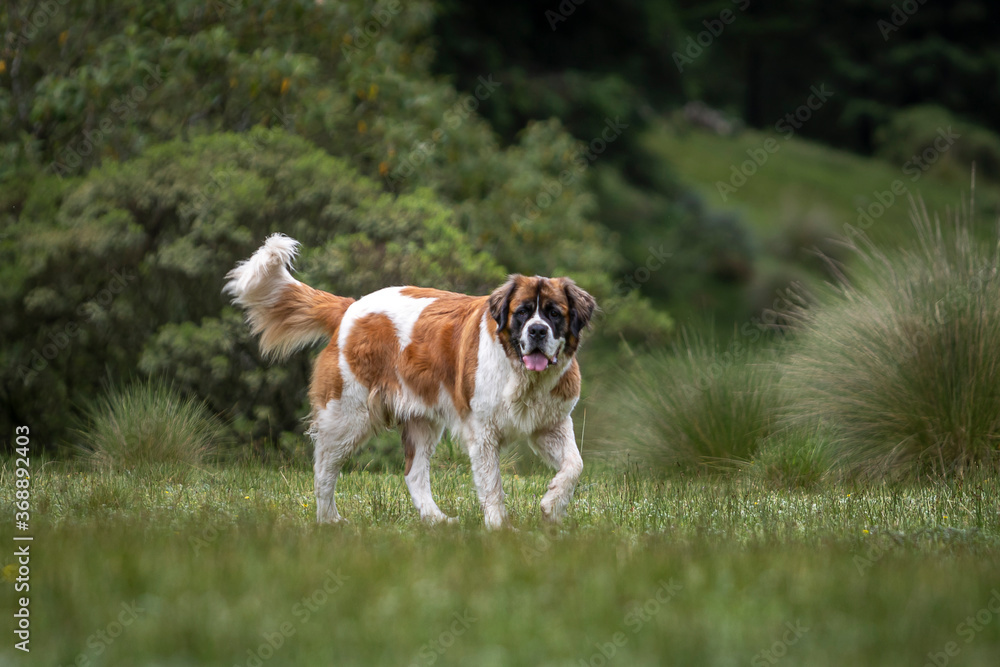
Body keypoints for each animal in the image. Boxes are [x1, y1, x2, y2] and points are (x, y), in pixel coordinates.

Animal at [227, 234, 592, 528]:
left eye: (554, 313)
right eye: (522, 312)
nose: (537, 331)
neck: (522, 375)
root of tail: (350, 308)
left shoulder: (551, 424)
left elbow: (574, 465)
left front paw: (551, 506)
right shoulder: (483, 433)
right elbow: (493, 486)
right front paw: (500, 528)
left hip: (422, 421)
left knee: (413, 474)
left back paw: (436, 520)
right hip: (347, 417)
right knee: (324, 469)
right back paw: (329, 520)